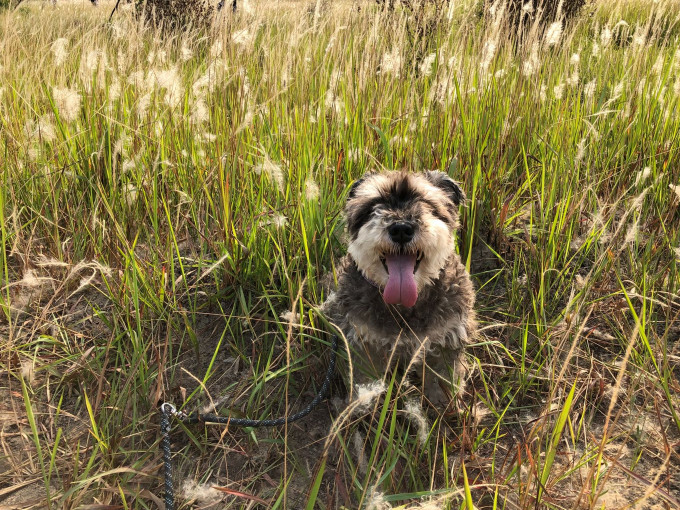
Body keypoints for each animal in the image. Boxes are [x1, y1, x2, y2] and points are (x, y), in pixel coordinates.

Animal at [326, 171, 478, 410]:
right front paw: (363, 403)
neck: (404, 308)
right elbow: (364, 377)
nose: (400, 229)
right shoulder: (363, 340)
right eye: (375, 203)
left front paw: (443, 401)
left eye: (427, 202)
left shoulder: (447, 336)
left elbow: (443, 375)